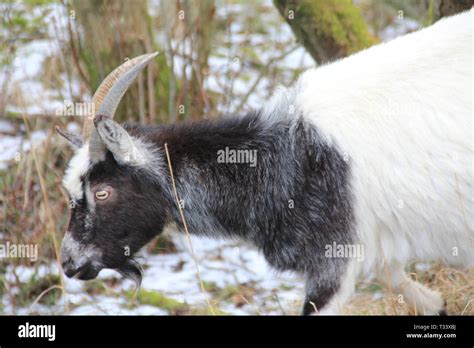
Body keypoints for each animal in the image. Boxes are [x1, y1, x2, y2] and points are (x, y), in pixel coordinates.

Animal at [57, 10, 472, 316]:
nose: (68, 263)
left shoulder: (331, 256)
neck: (286, 151)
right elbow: (393, 274)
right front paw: (437, 304)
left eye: (103, 191)